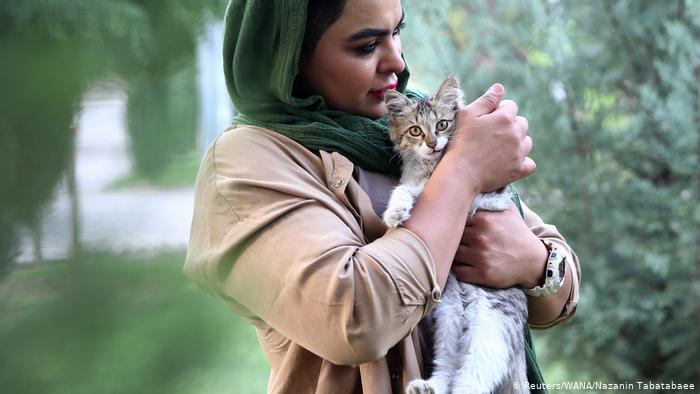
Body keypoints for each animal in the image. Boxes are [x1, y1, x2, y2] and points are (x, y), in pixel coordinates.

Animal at [382, 75, 532, 392]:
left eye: (442, 124)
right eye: (415, 130)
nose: (432, 144)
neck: (432, 166)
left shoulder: (481, 194)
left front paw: (396, 212)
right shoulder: (416, 181)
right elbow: (404, 189)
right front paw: (395, 212)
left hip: (490, 328)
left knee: (472, 379)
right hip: (448, 318)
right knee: (447, 366)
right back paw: (427, 386)